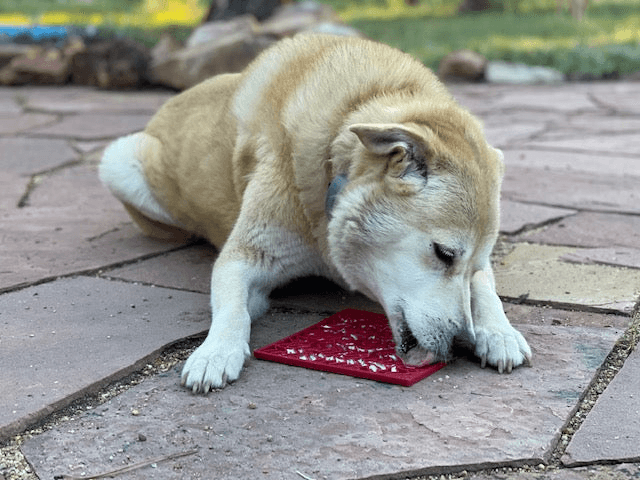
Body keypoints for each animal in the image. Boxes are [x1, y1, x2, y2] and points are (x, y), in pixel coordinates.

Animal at [100, 34, 528, 394]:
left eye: (472, 265)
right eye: (443, 253)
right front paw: (216, 351)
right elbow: (233, 308)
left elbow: (485, 289)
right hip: (118, 161)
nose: (460, 343)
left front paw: (499, 332)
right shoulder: (243, 257)